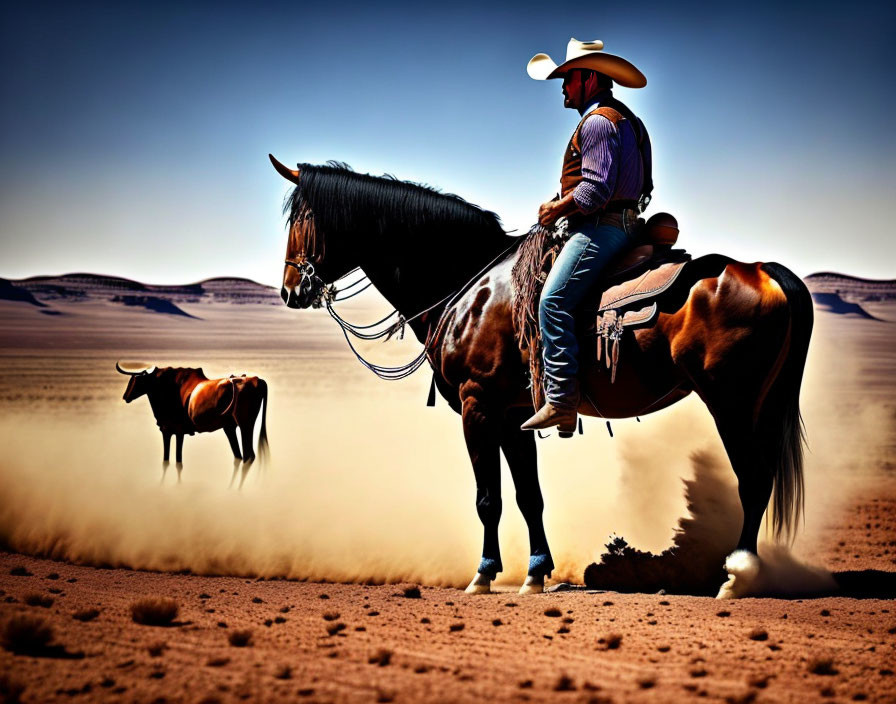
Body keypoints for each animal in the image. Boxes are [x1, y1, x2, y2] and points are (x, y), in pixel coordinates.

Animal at [116, 364, 270, 484]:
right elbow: (168, 461)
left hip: (245, 424)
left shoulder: (173, 431)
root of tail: (257, 380)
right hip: (230, 427)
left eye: (136, 380)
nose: (125, 396)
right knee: (240, 456)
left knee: (248, 456)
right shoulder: (170, 431)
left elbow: (175, 462)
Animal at [272, 157, 812, 596]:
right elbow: (529, 496)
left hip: (732, 404)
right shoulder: (515, 415)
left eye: (302, 219)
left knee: (754, 481)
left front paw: (484, 574)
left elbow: (488, 498)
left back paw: (735, 578)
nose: (290, 290)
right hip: (759, 405)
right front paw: (534, 573)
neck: (470, 287)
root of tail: (766, 272)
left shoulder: (478, 405)